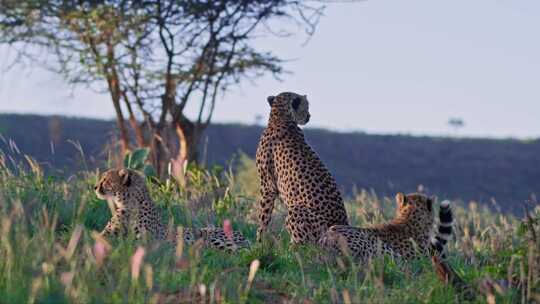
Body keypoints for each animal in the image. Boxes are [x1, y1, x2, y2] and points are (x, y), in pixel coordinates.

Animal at [94, 167, 250, 251]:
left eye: (105, 180)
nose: (94, 187)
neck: (130, 201)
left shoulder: (147, 242)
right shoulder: (106, 235)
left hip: (212, 239)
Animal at [255, 91, 348, 243]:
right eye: (307, 106)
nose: (309, 116)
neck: (280, 117)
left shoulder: (267, 186)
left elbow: (263, 217)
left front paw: (259, 241)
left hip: (298, 211)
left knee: (304, 245)